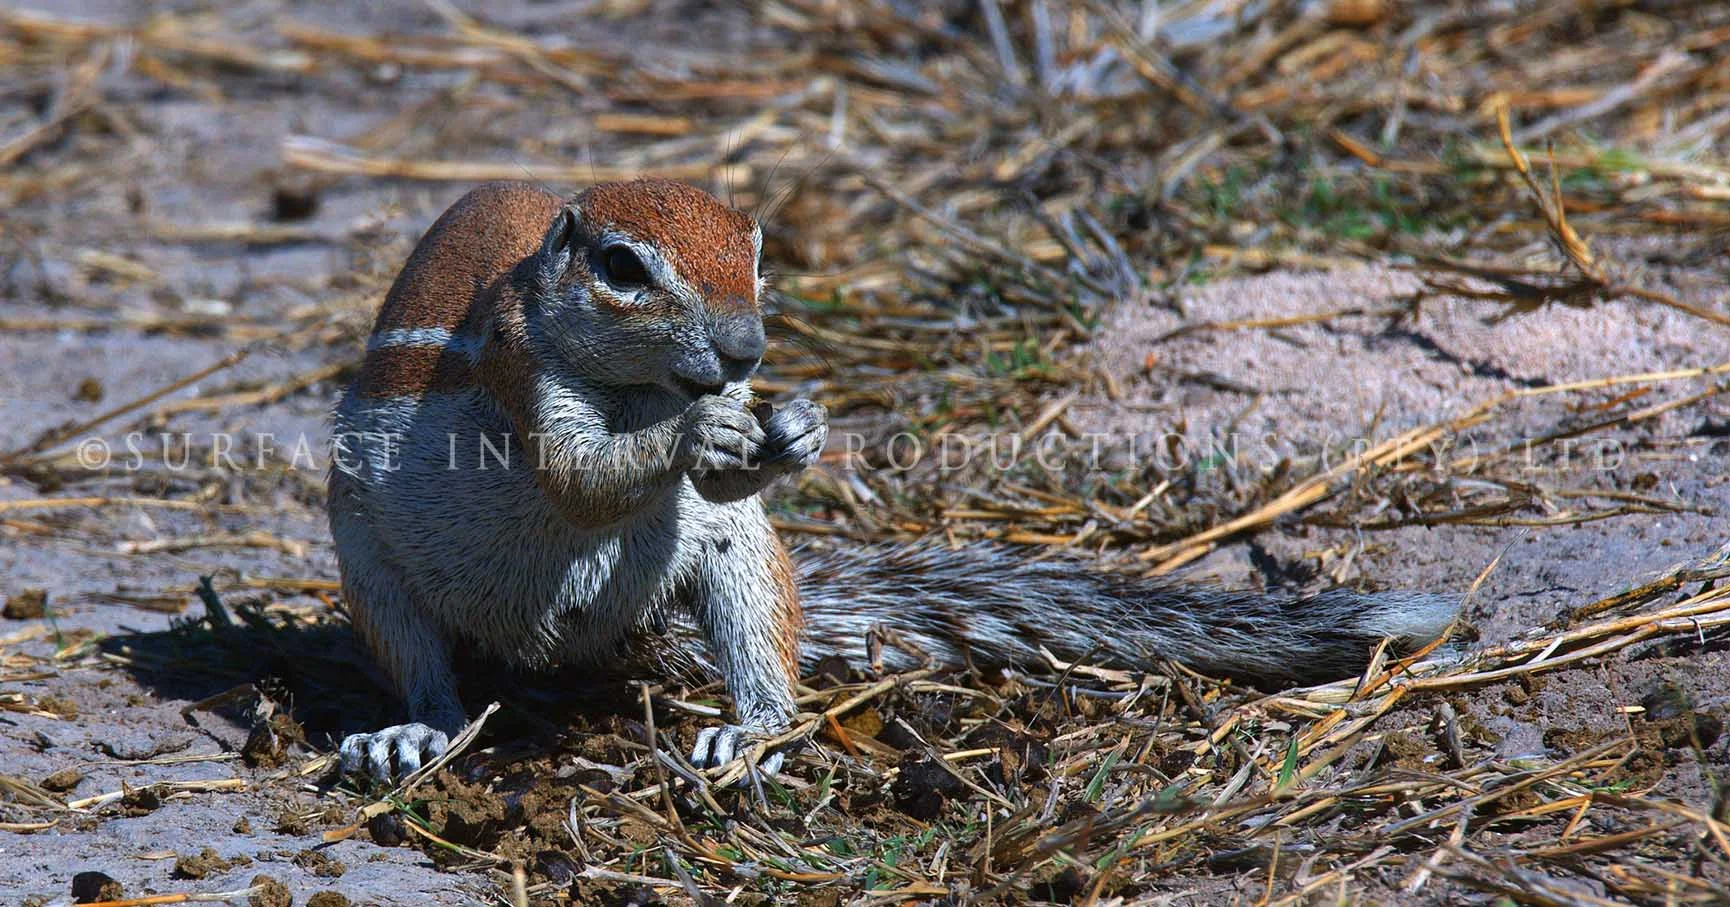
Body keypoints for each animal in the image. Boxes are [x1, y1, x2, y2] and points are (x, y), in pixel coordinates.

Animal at [327, 179, 1458, 778]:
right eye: (620, 267)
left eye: (755, 255)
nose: (744, 350)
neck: (642, 386)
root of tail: (576, 644)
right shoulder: (527, 377)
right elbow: (576, 472)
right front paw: (695, 434)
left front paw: (795, 430)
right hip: (370, 571)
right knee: (428, 672)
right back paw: (411, 730)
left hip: (740, 566)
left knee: (759, 646)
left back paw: (749, 729)